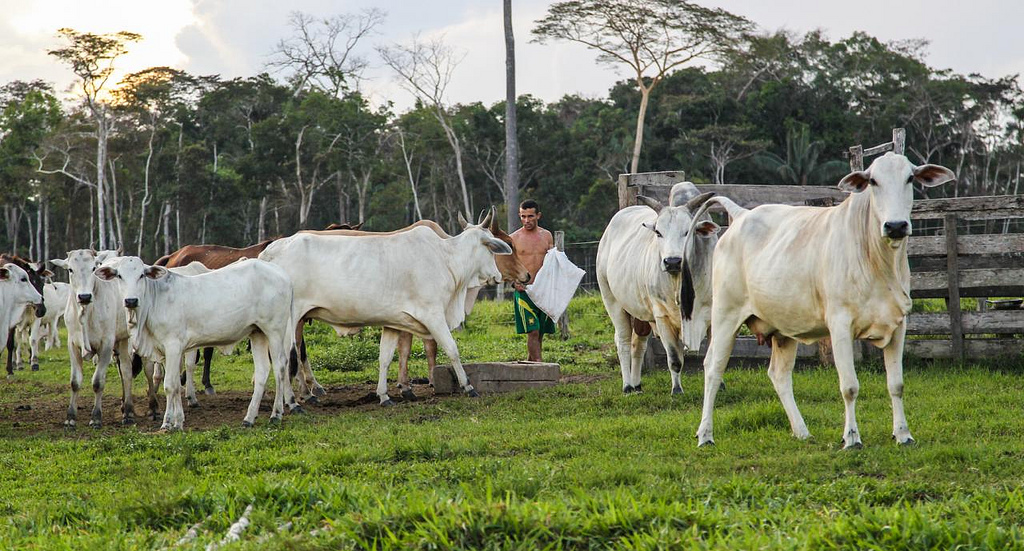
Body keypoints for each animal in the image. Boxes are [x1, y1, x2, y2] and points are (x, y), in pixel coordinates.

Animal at [50, 250, 149, 426]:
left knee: (126, 371)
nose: (84, 296)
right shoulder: (72, 345)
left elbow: (98, 382)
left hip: (125, 338)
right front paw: (70, 418)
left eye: (93, 268)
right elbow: (75, 382)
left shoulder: (106, 345)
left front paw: (96, 418)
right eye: (70, 269)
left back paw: (128, 412)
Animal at [96, 253, 299, 428]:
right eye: (119, 275)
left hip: (275, 330)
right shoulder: (167, 351)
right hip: (257, 333)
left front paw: (168, 423)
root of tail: (282, 274)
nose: (131, 300)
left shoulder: (173, 345)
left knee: (280, 367)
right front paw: (178, 420)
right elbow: (175, 384)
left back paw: (276, 414)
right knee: (263, 370)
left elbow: (170, 385)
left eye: (141, 275)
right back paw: (249, 418)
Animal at [256, 209, 512, 403]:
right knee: (286, 358)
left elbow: (385, 357)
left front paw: (384, 395)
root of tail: (270, 250)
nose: (498, 276)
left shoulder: (393, 323)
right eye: (491, 248)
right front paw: (468, 387)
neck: (446, 258)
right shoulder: (433, 315)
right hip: (290, 320)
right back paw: (294, 399)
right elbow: (452, 349)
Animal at [593, 184, 720, 395]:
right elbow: (675, 359)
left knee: (638, 345)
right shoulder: (662, 317)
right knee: (623, 342)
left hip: (641, 314)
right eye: (659, 232)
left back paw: (637, 384)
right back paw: (627, 386)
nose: (672, 261)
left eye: (688, 231)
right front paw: (677, 390)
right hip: (611, 300)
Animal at [692, 150, 954, 446]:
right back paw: (705, 434)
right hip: (726, 316)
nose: (896, 225)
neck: (878, 261)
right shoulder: (839, 325)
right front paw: (851, 438)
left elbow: (896, 385)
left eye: (910, 178)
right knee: (713, 368)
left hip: (782, 329)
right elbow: (849, 387)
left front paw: (903, 434)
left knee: (779, 375)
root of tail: (741, 215)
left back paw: (801, 431)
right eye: (873, 181)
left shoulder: (898, 324)